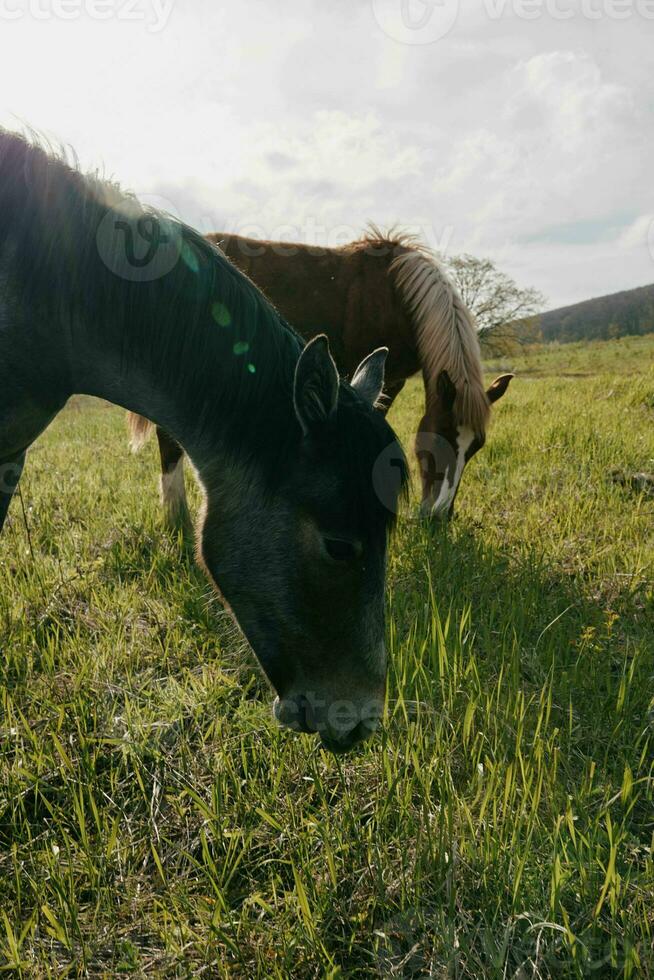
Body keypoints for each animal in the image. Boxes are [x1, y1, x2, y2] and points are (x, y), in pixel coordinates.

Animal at [131, 230, 516, 524]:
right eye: (441, 438)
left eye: (475, 448)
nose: (439, 517)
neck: (397, 297)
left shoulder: (391, 380)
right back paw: (176, 516)